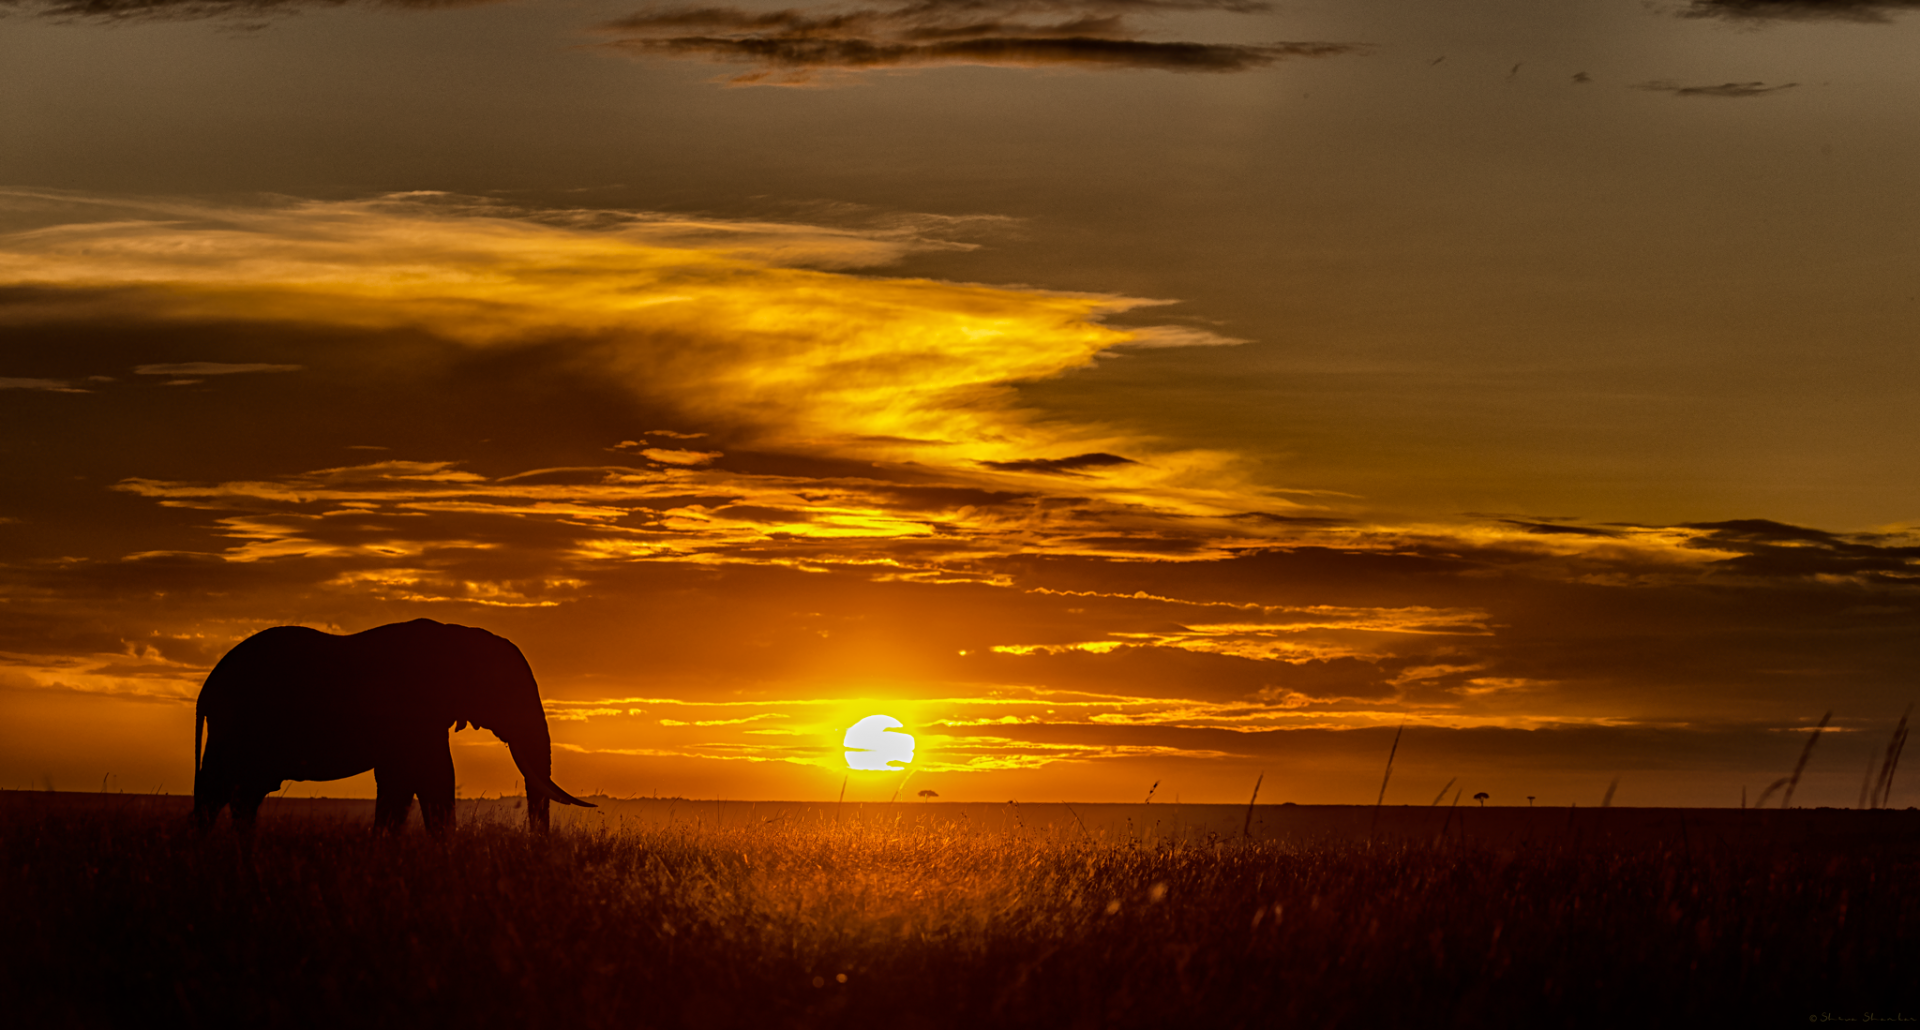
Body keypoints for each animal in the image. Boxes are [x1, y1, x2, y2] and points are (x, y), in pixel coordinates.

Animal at [192, 614, 591, 833]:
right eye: (506, 692)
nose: (537, 846)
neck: (458, 635)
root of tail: (208, 687)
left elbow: (403, 783)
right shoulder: (413, 710)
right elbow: (432, 778)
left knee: (242, 792)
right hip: (239, 723)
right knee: (222, 789)